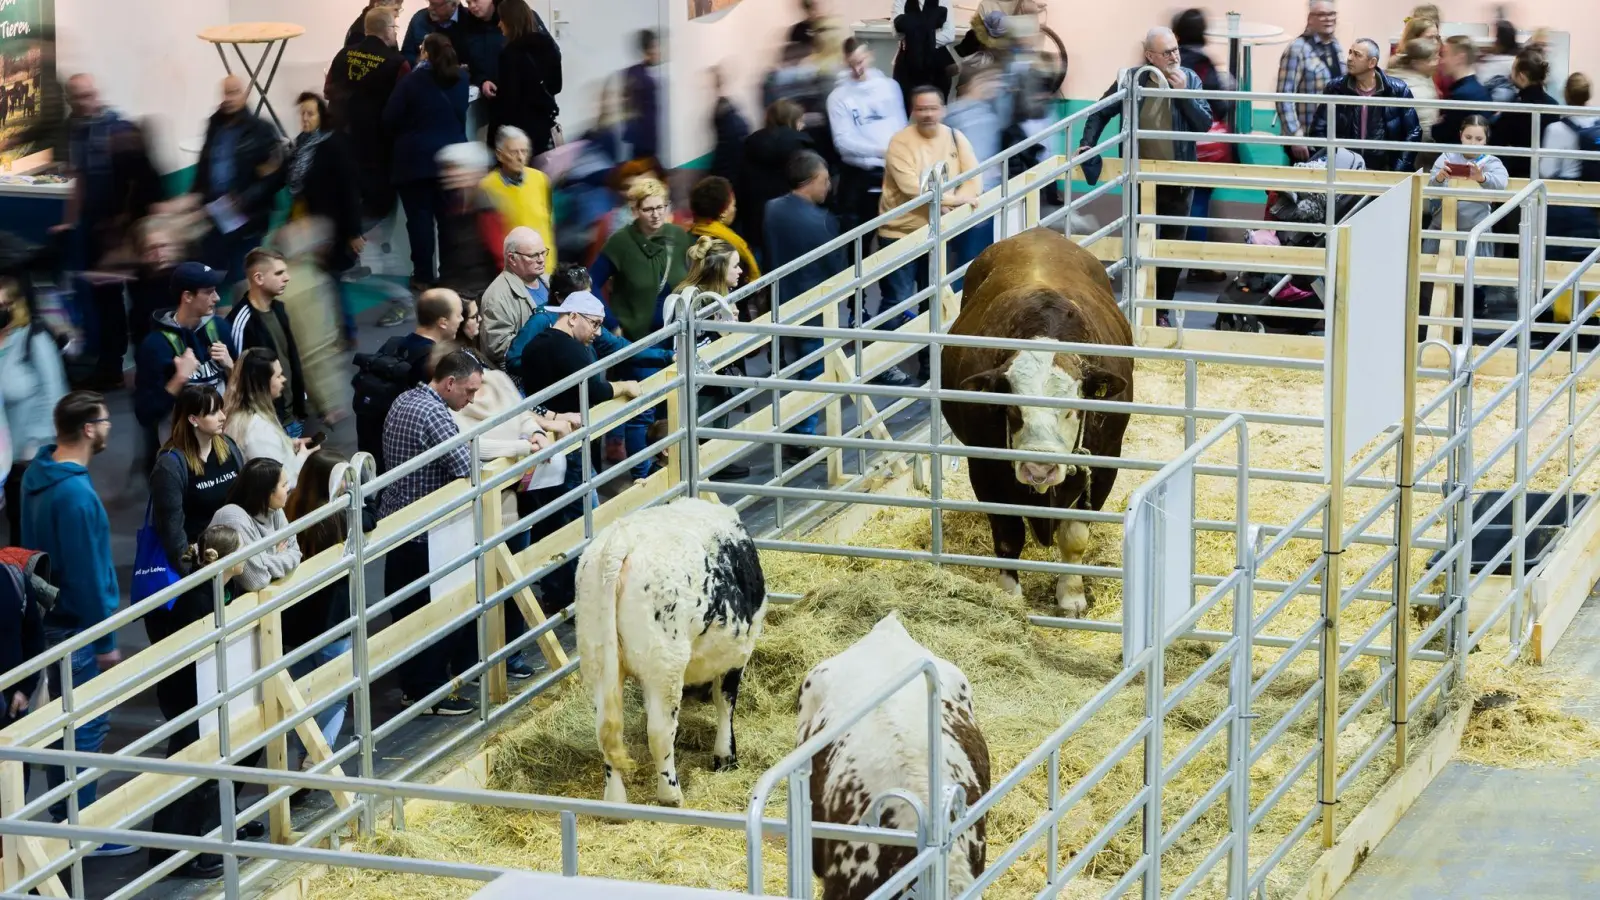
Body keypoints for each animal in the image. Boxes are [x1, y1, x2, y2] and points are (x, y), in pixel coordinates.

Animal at [582, 493, 768, 800]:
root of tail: (620, 541)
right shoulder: (737, 652)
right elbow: (725, 701)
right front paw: (726, 756)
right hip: (665, 666)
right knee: (659, 732)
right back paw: (671, 796)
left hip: (599, 664)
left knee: (606, 734)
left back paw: (615, 801)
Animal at [940, 227, 1132, 611]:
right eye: (1014, 409)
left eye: (1072, 409)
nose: (1039, 470)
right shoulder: (985, 469)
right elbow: (1007, 536)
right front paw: (1010, 597)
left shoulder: (1104, 465)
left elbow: (1075, 535)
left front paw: (1071, 594)